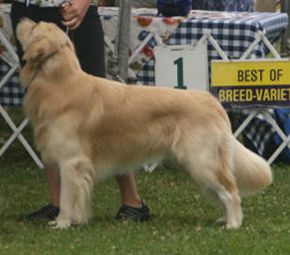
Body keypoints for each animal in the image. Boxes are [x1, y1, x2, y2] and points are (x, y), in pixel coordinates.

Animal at [17, 17, 274, 229]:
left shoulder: (71, 161)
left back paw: (232, 224)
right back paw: (223, 218)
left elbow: (67, 198)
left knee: (231, 192)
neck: (59, 81)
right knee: (221, 192)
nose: (22, 18)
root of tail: (213, 103)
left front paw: (62, 223)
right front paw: (74, 220)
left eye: (33, 26)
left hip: (201, 160)